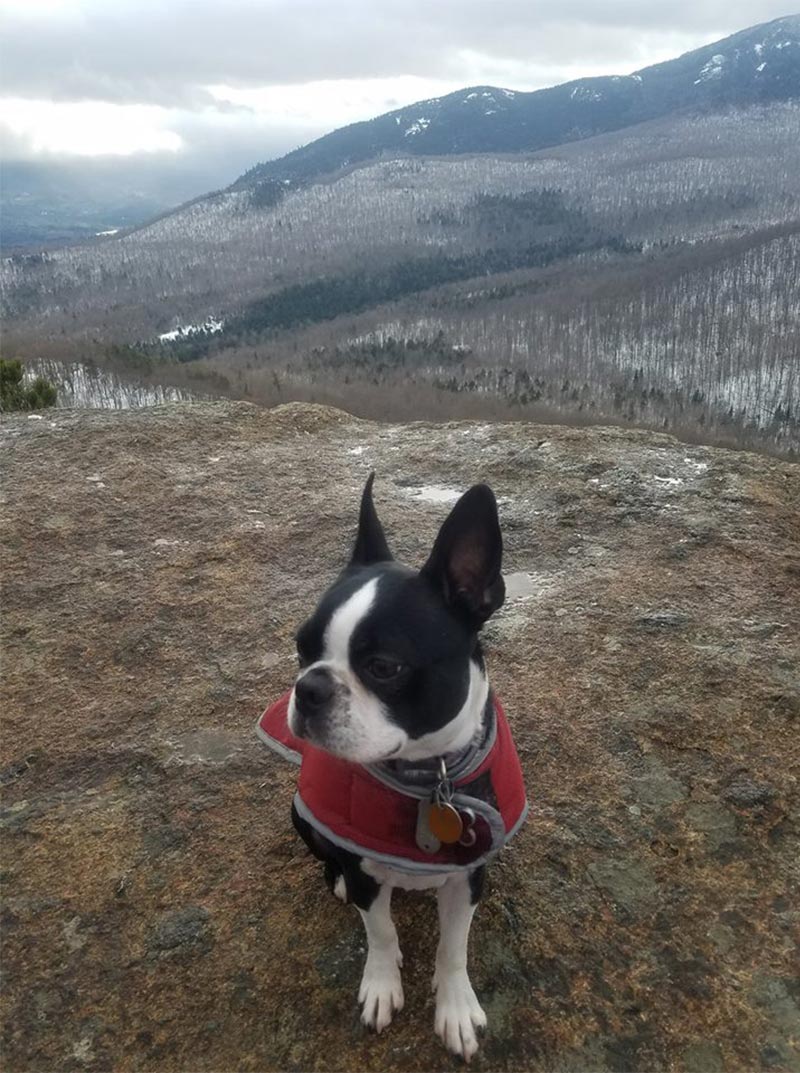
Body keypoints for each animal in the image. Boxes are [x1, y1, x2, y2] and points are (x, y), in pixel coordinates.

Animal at [258, 476, 527, 1055]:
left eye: (384, 667)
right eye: (300, 648)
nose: (308, 688)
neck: (428, 777)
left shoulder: (468, 875)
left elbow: (454, 947)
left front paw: (455, 1007)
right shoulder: (364, 869)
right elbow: (380, 931)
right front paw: (382, 986)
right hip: (300, 814)